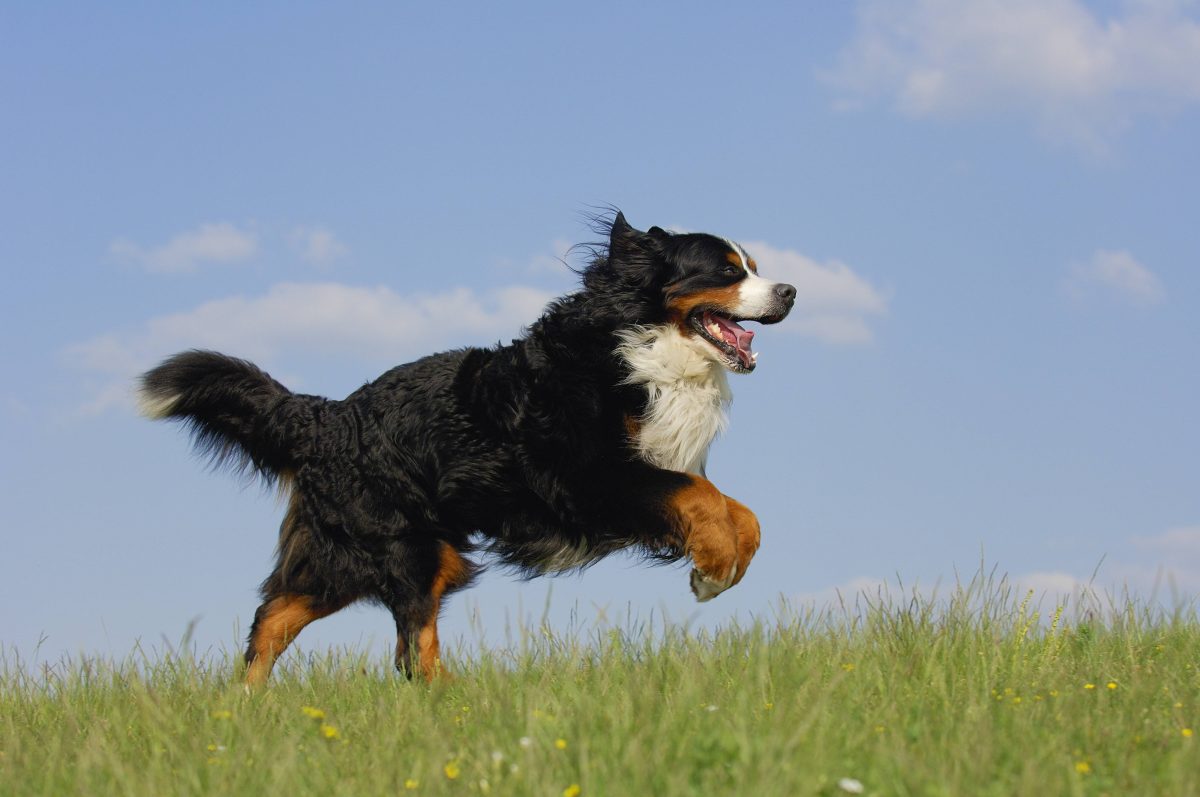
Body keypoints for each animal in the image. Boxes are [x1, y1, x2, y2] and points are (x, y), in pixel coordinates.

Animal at [138, 213, 796, 686]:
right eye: (727, 271)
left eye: (754, 267)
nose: (790, 290)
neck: (644, 348)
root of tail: (327, 416)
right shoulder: (592, 478)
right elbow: (700, 496)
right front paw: (714, 568)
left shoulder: (652, 466)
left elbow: (744, 513)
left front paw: (717, 572)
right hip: (406, 546)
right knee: (410, 651)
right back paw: (456, 703)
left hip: (357, 554)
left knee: (274, 617)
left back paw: (244, 705)